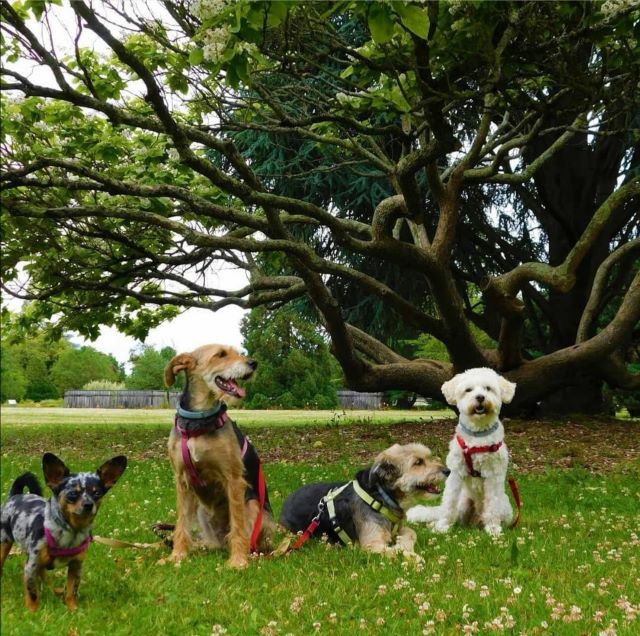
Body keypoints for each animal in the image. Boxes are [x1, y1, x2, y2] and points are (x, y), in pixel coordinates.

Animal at [0, 452, 127, 612]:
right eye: (72, 494)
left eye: (97, 493)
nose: (88, 504)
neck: (71, 531)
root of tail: (15, 495)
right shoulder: (31, 565)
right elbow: (32, 592)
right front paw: (33, 612)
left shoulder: (76, 566)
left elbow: (72, 590)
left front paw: (73, 609)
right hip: (4, 544)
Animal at [164, 346, 274, 568]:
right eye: (221, 354)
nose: (253, 363)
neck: (199, 421)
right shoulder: (182, 481)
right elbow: (181, 523)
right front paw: (177, 555)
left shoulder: (233, 479)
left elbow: (238, 527)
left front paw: (238, 561)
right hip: (202, 512)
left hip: (252, 505)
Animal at [278, 444, 448, 556]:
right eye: (418, 462)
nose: (448, 471)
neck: (380, 497)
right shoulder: (371, 544)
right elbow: (394, 551)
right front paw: (407, 553)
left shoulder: (399, 529)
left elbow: (412, 533)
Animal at [408, 368, 516, 536]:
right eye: (468, 390)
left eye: (488, 388)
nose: (480, 397)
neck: (477, 436)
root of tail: (476, 518)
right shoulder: (455, 472)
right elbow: (449, 502)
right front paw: (442, 526)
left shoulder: (493, 475)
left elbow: (492, 504)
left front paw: (493, 529)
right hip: (463, 503)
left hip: (504, 507)